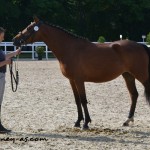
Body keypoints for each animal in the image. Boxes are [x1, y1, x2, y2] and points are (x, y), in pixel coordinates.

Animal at [12, 16, 150, 129]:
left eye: (29, 28)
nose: (15, 40)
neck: (70, 49)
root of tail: (140, 45)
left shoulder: (79, 80)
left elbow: (83, 100)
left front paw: (86, 123)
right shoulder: (72, 80)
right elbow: (77, 100)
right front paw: (78, 122)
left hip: (142, 76)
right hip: (128, 76)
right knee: (134, 95)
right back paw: (127, 120)